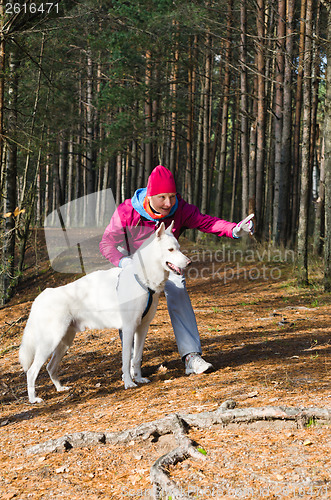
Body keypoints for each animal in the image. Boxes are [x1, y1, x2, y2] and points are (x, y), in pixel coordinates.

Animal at [20, 222, 192, 402]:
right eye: (170, 250)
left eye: (179, 248)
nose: (189, 263)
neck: (142, 279)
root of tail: (41, 296)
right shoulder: (129, 328)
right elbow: (126, 360)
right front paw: (129, 383)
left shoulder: (142, 328)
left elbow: (137, 358)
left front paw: (138, 378)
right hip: (50, 342)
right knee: (31, 371)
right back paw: (33, 399)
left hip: (64, 342)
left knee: (50, 367)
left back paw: (60, 389)